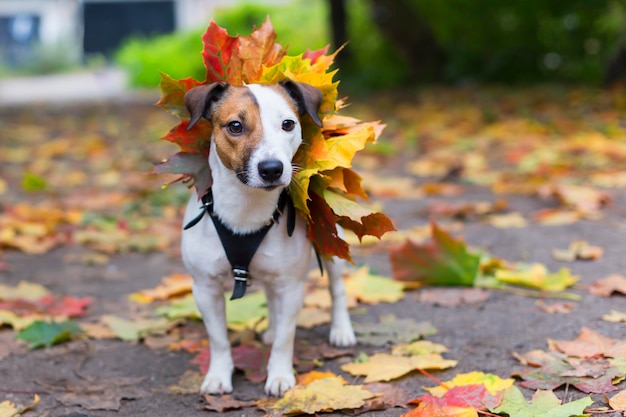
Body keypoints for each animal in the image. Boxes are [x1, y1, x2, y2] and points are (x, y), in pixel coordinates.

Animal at [180, 79, 356, 394]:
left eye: (288, 124)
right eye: (235, 126)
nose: (272, 168)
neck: (246, 210)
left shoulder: (291, 286)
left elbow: (286, 338)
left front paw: (280, 376)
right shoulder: (205, 288)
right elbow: (218, 338)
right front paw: (218, 375)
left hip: (331, 243)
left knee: (336, 289)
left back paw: (341, 330)